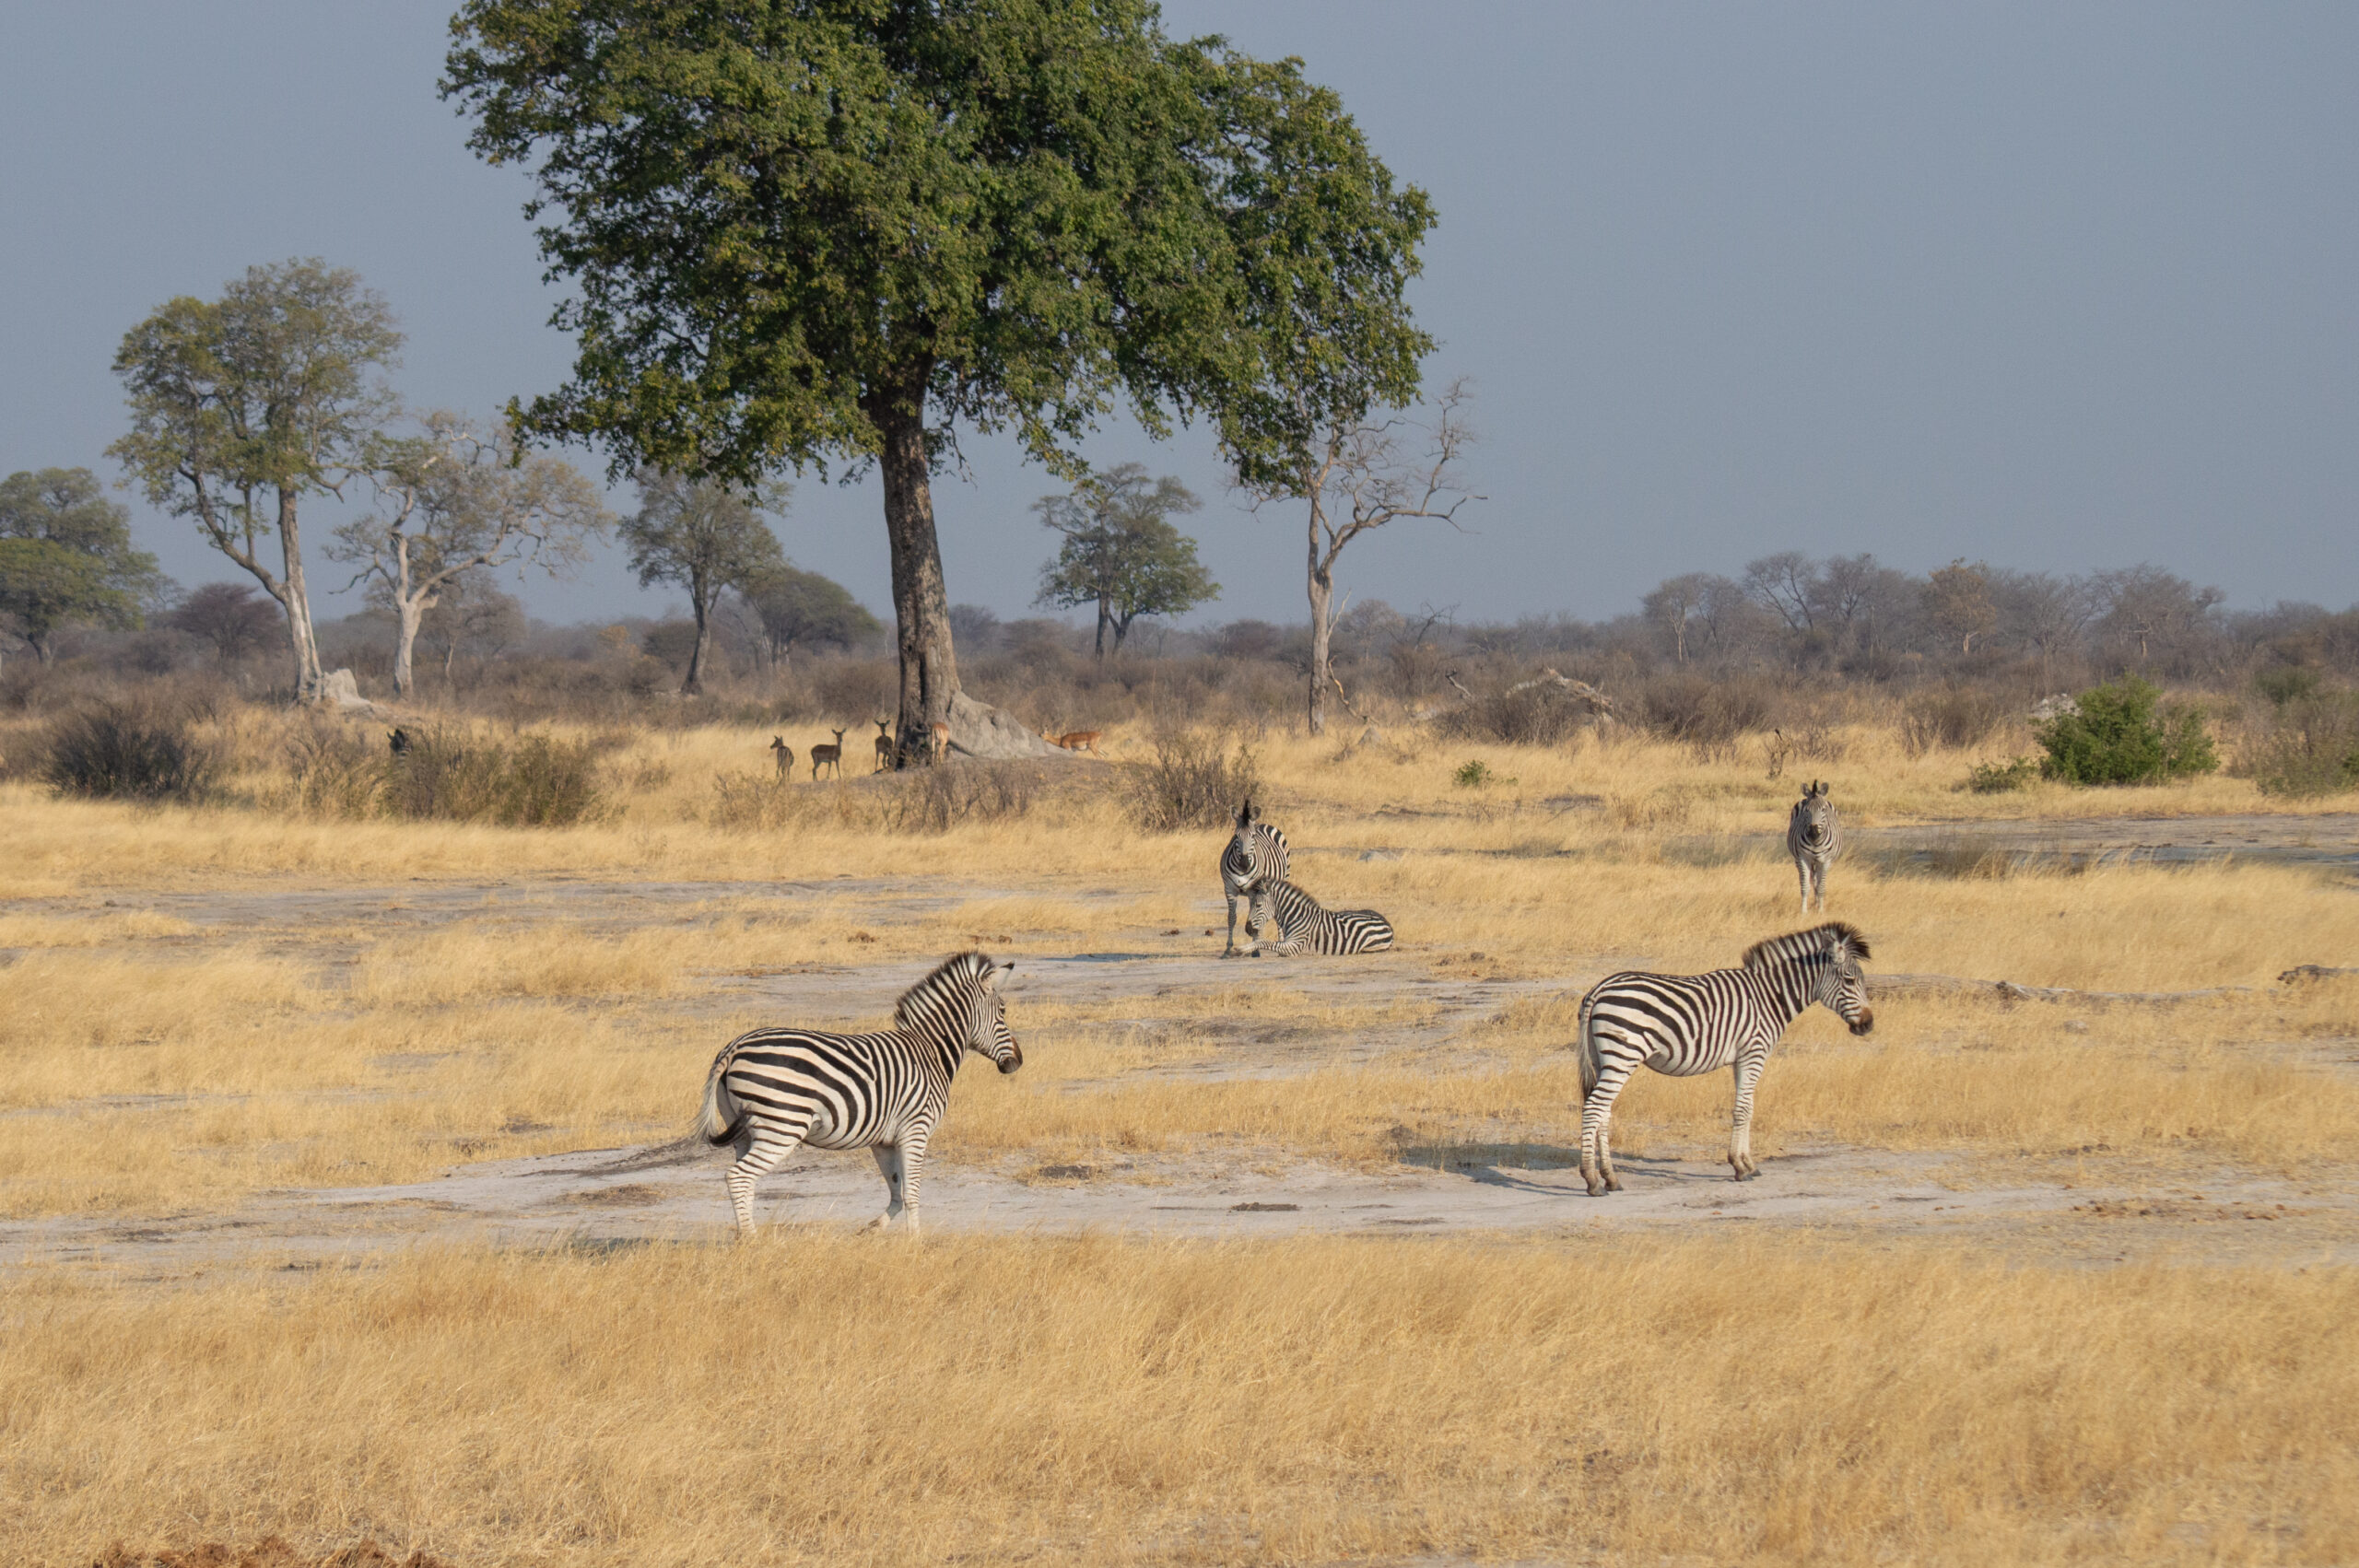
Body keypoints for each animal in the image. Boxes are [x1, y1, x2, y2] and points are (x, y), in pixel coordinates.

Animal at [696, 950, 1022, 1236]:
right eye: (1003, 1010)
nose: (1017, 1062)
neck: (929, 1052)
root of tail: (734, 1047)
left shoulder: (884, 1141)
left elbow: (896, 1191)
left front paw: (872, 1229)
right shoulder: (916, 1128)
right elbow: (912, 1192)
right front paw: (915, 1243)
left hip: (744, 1130)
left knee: (744, 1180)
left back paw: (744, 1235)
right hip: (783, 1125)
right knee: (739, 1177)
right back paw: (751, 1240)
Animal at [1219, 799, 1289, 958]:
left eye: (1252, 836)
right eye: (1236, 836)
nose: (1245, 864)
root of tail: (1262, 824)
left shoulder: (1253, 890)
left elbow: (1257, 918)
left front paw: (1256, 949)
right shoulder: (1230, 889)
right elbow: (1231, 918)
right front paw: (1228, 949)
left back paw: (1281, 946)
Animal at [1243, 878, 1395, 957]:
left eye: (1258, 905)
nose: (1247, 929)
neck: (1296, 916)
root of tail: (1388, 924)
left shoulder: (1295, 946)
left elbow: (1264, 941)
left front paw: (1242, 949)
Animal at [1573, 921, 1873, 1196]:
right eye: (1850, 981)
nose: (1868, 1025)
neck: (1769, 997)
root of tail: (1599, 989)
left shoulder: (1741, 1058)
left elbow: (1747, 1107)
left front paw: (1748, 1164)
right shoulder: (1754, 1052)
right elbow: (1742, 1109)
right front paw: (1740, 1167)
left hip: (1603, 1059)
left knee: (1604, 1112)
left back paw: (1611, 1178)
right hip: (1623, 1055)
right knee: (1594, 1107)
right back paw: (1592, 1180)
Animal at [1786, 780, 1842, 912]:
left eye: (1823, 810)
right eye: (1807, 810)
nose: (1813, 831)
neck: (1816, 842)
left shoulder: (1826, 861)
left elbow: (1821, 886)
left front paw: (1820, 910)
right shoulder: (1803, 858)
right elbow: (1805, 885)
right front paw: (1804, 911)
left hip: (1820, 861)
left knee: (1816, 881)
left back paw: (1817, 903)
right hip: (1800, 860)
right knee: (1808, 879)